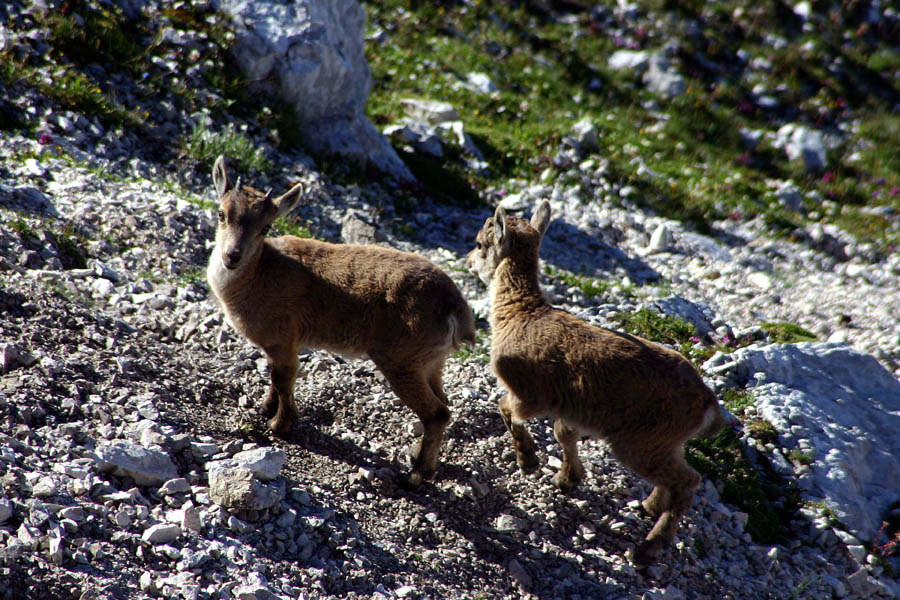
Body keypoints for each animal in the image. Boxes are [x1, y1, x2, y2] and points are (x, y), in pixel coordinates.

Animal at [206, 155, 476, 486]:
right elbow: (274, 376)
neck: (259, 272)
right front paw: (266, 408)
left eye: (265, 227)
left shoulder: (284, 338)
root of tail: (454, 305)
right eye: (222, 214)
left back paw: (416, 474)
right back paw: (420, 457)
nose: (231, 256)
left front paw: (281, 425)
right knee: (445, 404)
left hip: (402, 361)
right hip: (431, 362)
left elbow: (284, 378)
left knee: (436, 413)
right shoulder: (277, 344)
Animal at [466, 201, 724, 566]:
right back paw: (649, 506)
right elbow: (564, 433)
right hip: (666, 443)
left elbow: (506, 408)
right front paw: (567, 479)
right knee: (678, 478)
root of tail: (707, 403)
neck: (520, 314)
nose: (467, 262)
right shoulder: (569, 408)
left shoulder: (529, 394)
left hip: (640, 444)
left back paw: (648, 549)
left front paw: (529, 461)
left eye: (479, 244)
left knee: (689, 482)